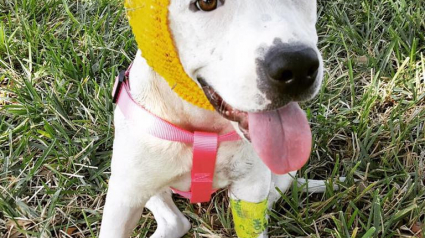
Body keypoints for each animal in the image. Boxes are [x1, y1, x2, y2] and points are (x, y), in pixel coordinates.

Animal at [100, 0, 322, 236]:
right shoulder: (124, 199)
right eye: (206, 3)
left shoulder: (250, 192)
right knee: (175, 220)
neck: (203, 128)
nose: (297, 66)